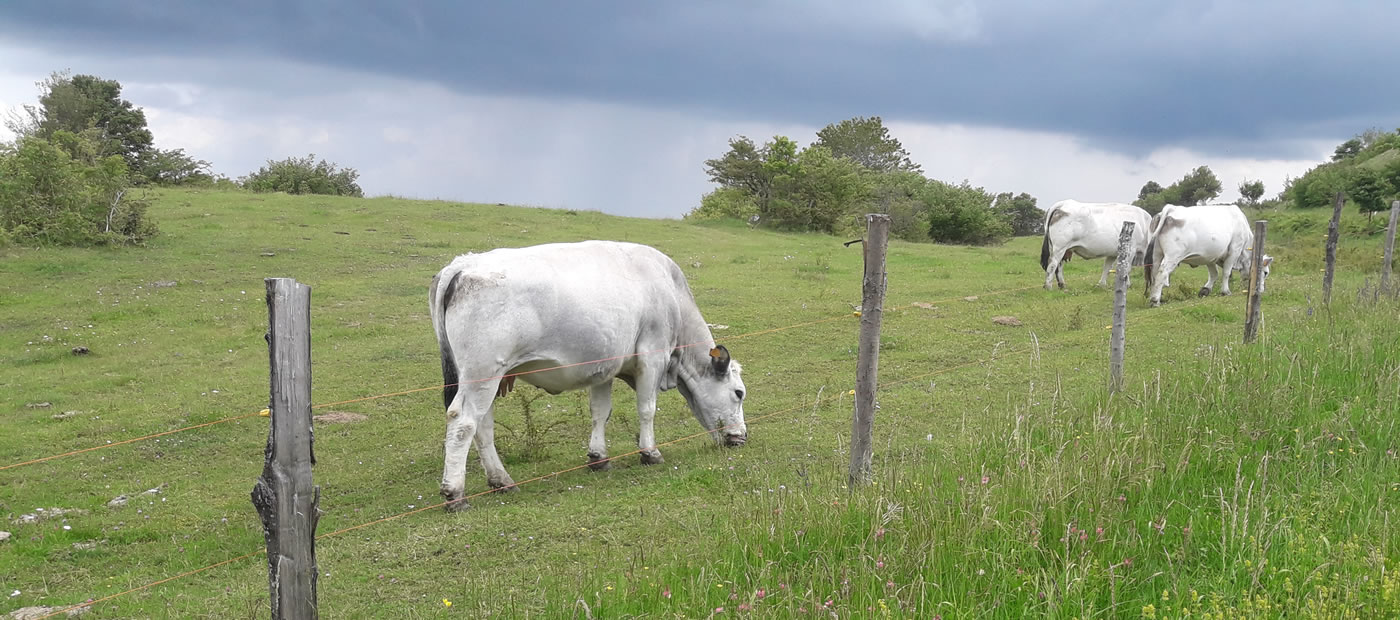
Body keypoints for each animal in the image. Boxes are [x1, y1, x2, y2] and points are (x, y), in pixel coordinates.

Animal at [428, 242, 750, 509]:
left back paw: (502, 481)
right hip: (483, 374)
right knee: (463, 422)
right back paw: (455, 494)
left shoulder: (604, 366)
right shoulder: (652, 355)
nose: (742, 437)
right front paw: (650, 453)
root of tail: (462, 264)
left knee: (483, 426)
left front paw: (598, 457)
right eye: (739, 393)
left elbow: (600, 412)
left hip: (488, 378)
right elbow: (647, 409)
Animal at [1142, 205, 1276, 306]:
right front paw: (1225, 291)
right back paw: (1155, 301)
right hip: (1172, 256)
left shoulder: (1210, 257)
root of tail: (1171, 208)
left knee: (1154, 274)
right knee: (1162, 274)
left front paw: (1205, 290)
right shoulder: (1234, 250)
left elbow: (1214, 274)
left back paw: (1158, 297)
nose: (1262, 290)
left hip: (1157, 254)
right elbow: (1226, 273)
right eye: (1265, 272)